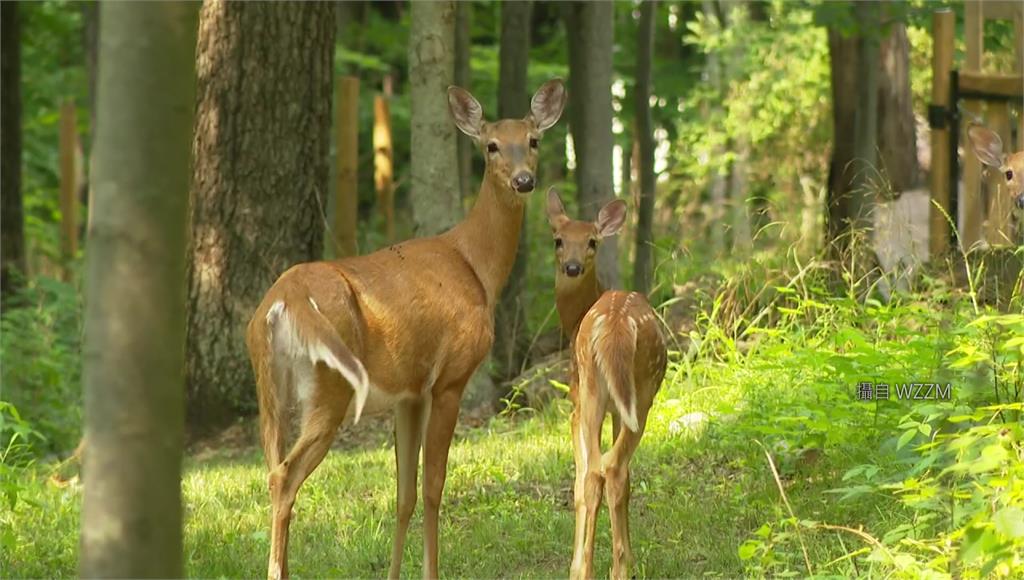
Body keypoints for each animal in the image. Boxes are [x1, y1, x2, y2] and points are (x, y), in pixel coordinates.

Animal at [246, 78, 569, 580]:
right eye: (491, 145)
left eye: (533, 140)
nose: (523, 180)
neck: (476, 266)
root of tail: (282, 304)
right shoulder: (450, 378)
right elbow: (435, 486)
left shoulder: (408, 393)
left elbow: (404, 495)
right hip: (331, 388)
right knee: (283, 476)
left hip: (269, 391)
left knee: (272, 468)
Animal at [548, 190, 667, 580]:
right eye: (558, 239)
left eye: (592, 242)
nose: (571, 267)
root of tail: (615, 328)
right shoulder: (616, 409)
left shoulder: (573, 405)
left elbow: (580, 480)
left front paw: (576, 562)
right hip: (634, 396)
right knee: (613, 469)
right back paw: (619, 565)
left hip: (596, 392)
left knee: (598, 472)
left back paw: (592, 568)